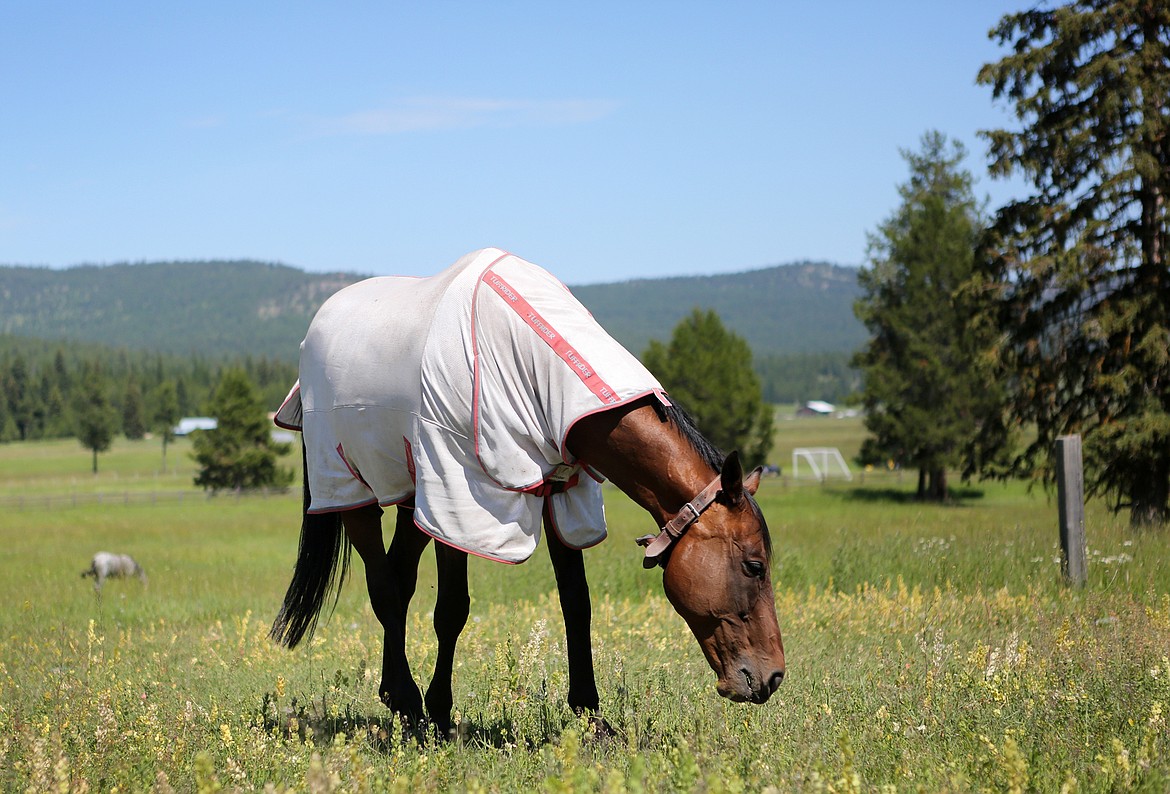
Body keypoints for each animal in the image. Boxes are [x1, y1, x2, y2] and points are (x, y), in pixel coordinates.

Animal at [269, 250, 786, 739]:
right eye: (754, 566)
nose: (773, 677)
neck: (537, 362)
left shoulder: (562, 493)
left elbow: (577, 604)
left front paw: (591, 717)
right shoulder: (457, 499)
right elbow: (451, 610)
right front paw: (440, 713)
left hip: (412, 496)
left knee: (399, 578)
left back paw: (394, 695)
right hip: (350, 487)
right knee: (384, 589)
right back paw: (412, 704)